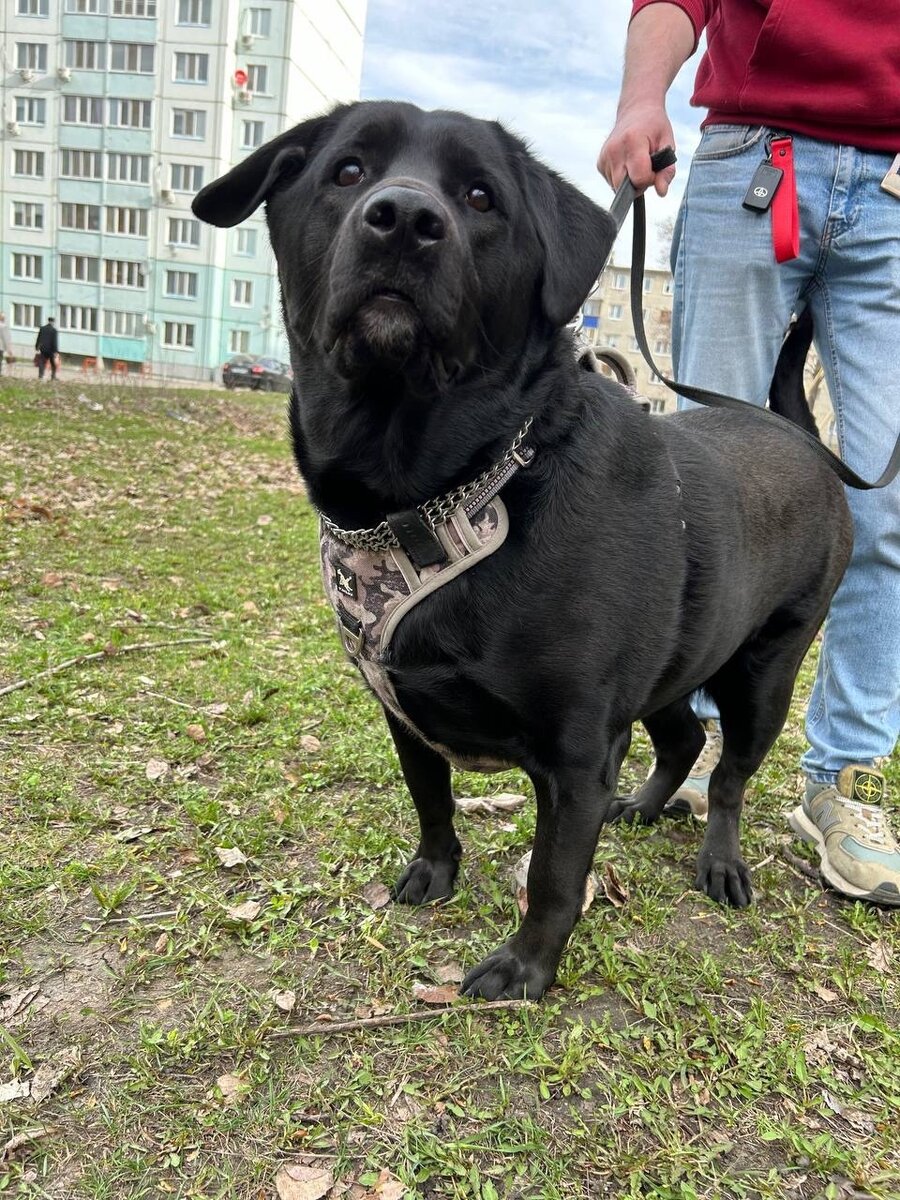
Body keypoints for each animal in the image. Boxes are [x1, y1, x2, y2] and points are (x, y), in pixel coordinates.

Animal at [194, 103, 854, 998]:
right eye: (347, 171)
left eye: (481, 197)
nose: (404, 218)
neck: (461, 492)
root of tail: (803, 435)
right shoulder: (406, 718)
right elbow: (432, 804)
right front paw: (435, 873)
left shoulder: (577, 754)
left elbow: (554, 876)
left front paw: (527, 966)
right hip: (674, 659)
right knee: (683, 738)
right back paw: (645, 805)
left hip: (763, 675)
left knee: (728, 776)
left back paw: (720, 861)